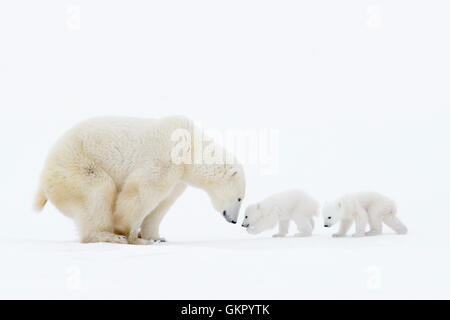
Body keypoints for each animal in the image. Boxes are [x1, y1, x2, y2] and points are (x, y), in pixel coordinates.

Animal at [33, 116, 246, 244]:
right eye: (240, 198)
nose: (234, 220)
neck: (191, 147)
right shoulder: (165, 158)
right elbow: (142, 191)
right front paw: (131, 235)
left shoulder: (179, 178)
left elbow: (161, 205)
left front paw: (156, 237)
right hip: (77, 165)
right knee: (99, 190)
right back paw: (108, 235)